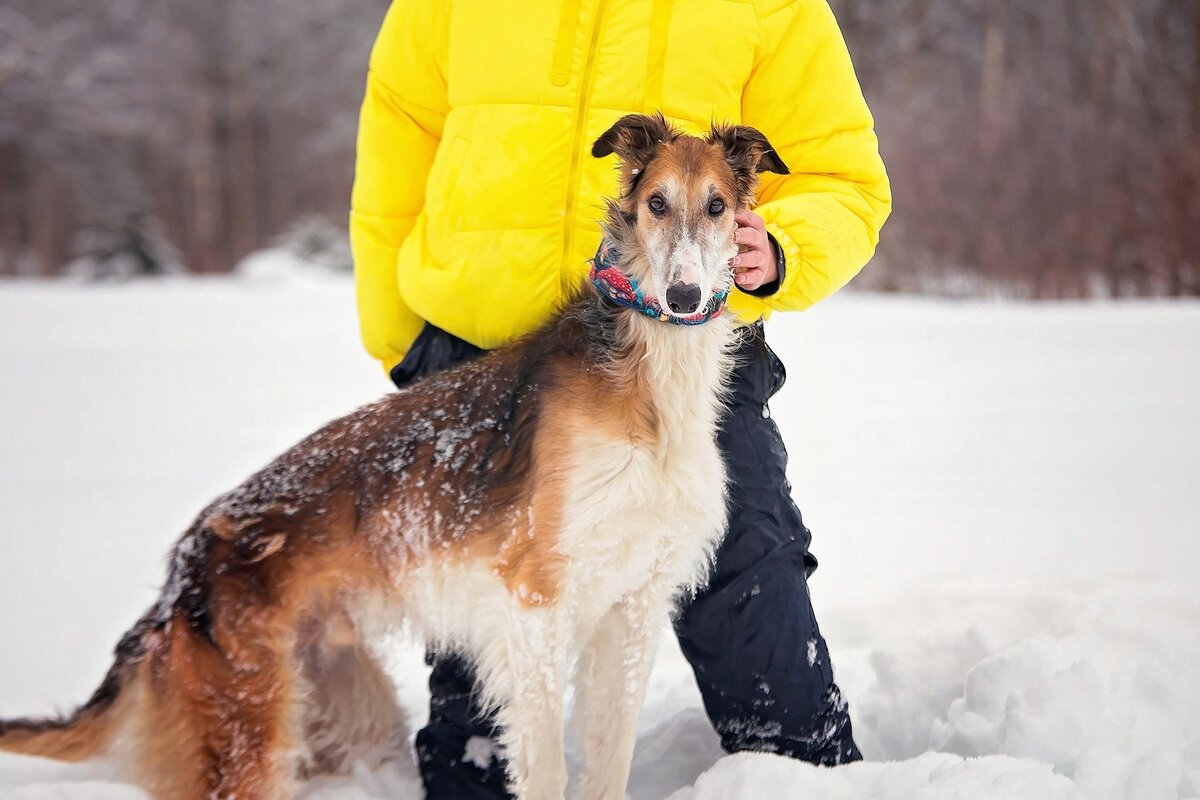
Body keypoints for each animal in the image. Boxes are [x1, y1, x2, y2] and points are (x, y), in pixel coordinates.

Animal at [0, 113, 792, 800]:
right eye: (657, 203)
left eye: (718, 207)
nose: (684, 295)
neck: (647, 387)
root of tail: (178, 575)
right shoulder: (533, 601)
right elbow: (547, 770)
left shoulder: (632, 606)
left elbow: (608, 764)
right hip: (249, 732)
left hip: (341, 705)